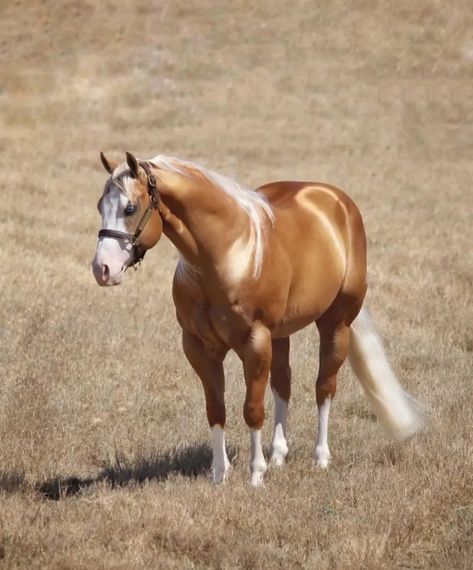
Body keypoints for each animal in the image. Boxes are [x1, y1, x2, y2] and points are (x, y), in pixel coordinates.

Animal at [91, 151, 420, 484]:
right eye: (100, 206)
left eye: (130, 207)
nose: (102, 269)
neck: (226, 254)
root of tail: (336, 201)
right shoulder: (198, 347)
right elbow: (216, 408)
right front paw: (220, 474)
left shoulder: (255, 341)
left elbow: (252, 409)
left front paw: (256, 474)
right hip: (282, 334)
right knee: (283, 384)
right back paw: (279, 455)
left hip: (336, 324)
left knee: (324, 387)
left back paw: (321, 457)